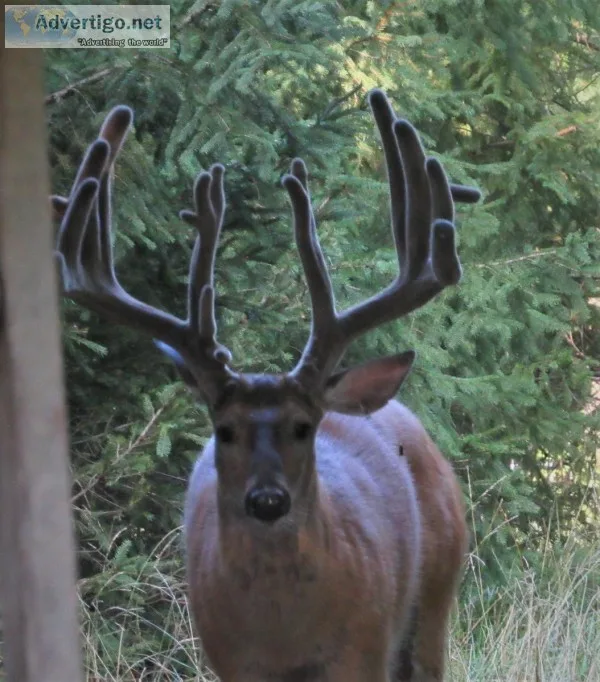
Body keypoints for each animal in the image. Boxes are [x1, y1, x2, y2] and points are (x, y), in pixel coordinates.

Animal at [52, 89, 480, 681]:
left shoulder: (363, 649)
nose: (268, 499)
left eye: (303, 427)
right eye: (224, 430)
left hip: (437, 594)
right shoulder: (230, 660)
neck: (284, 638)